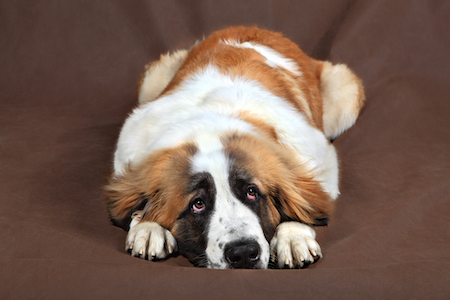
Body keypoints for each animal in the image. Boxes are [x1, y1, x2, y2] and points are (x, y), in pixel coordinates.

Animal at [103, 26, 364, 270]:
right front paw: (147, 227)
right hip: (151, 82)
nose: (244, 253)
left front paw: (293, 234)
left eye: (252, 192)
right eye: (198, 204)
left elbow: (303, 196)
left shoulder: (320, 159)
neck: (212, 119)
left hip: (344, 96)